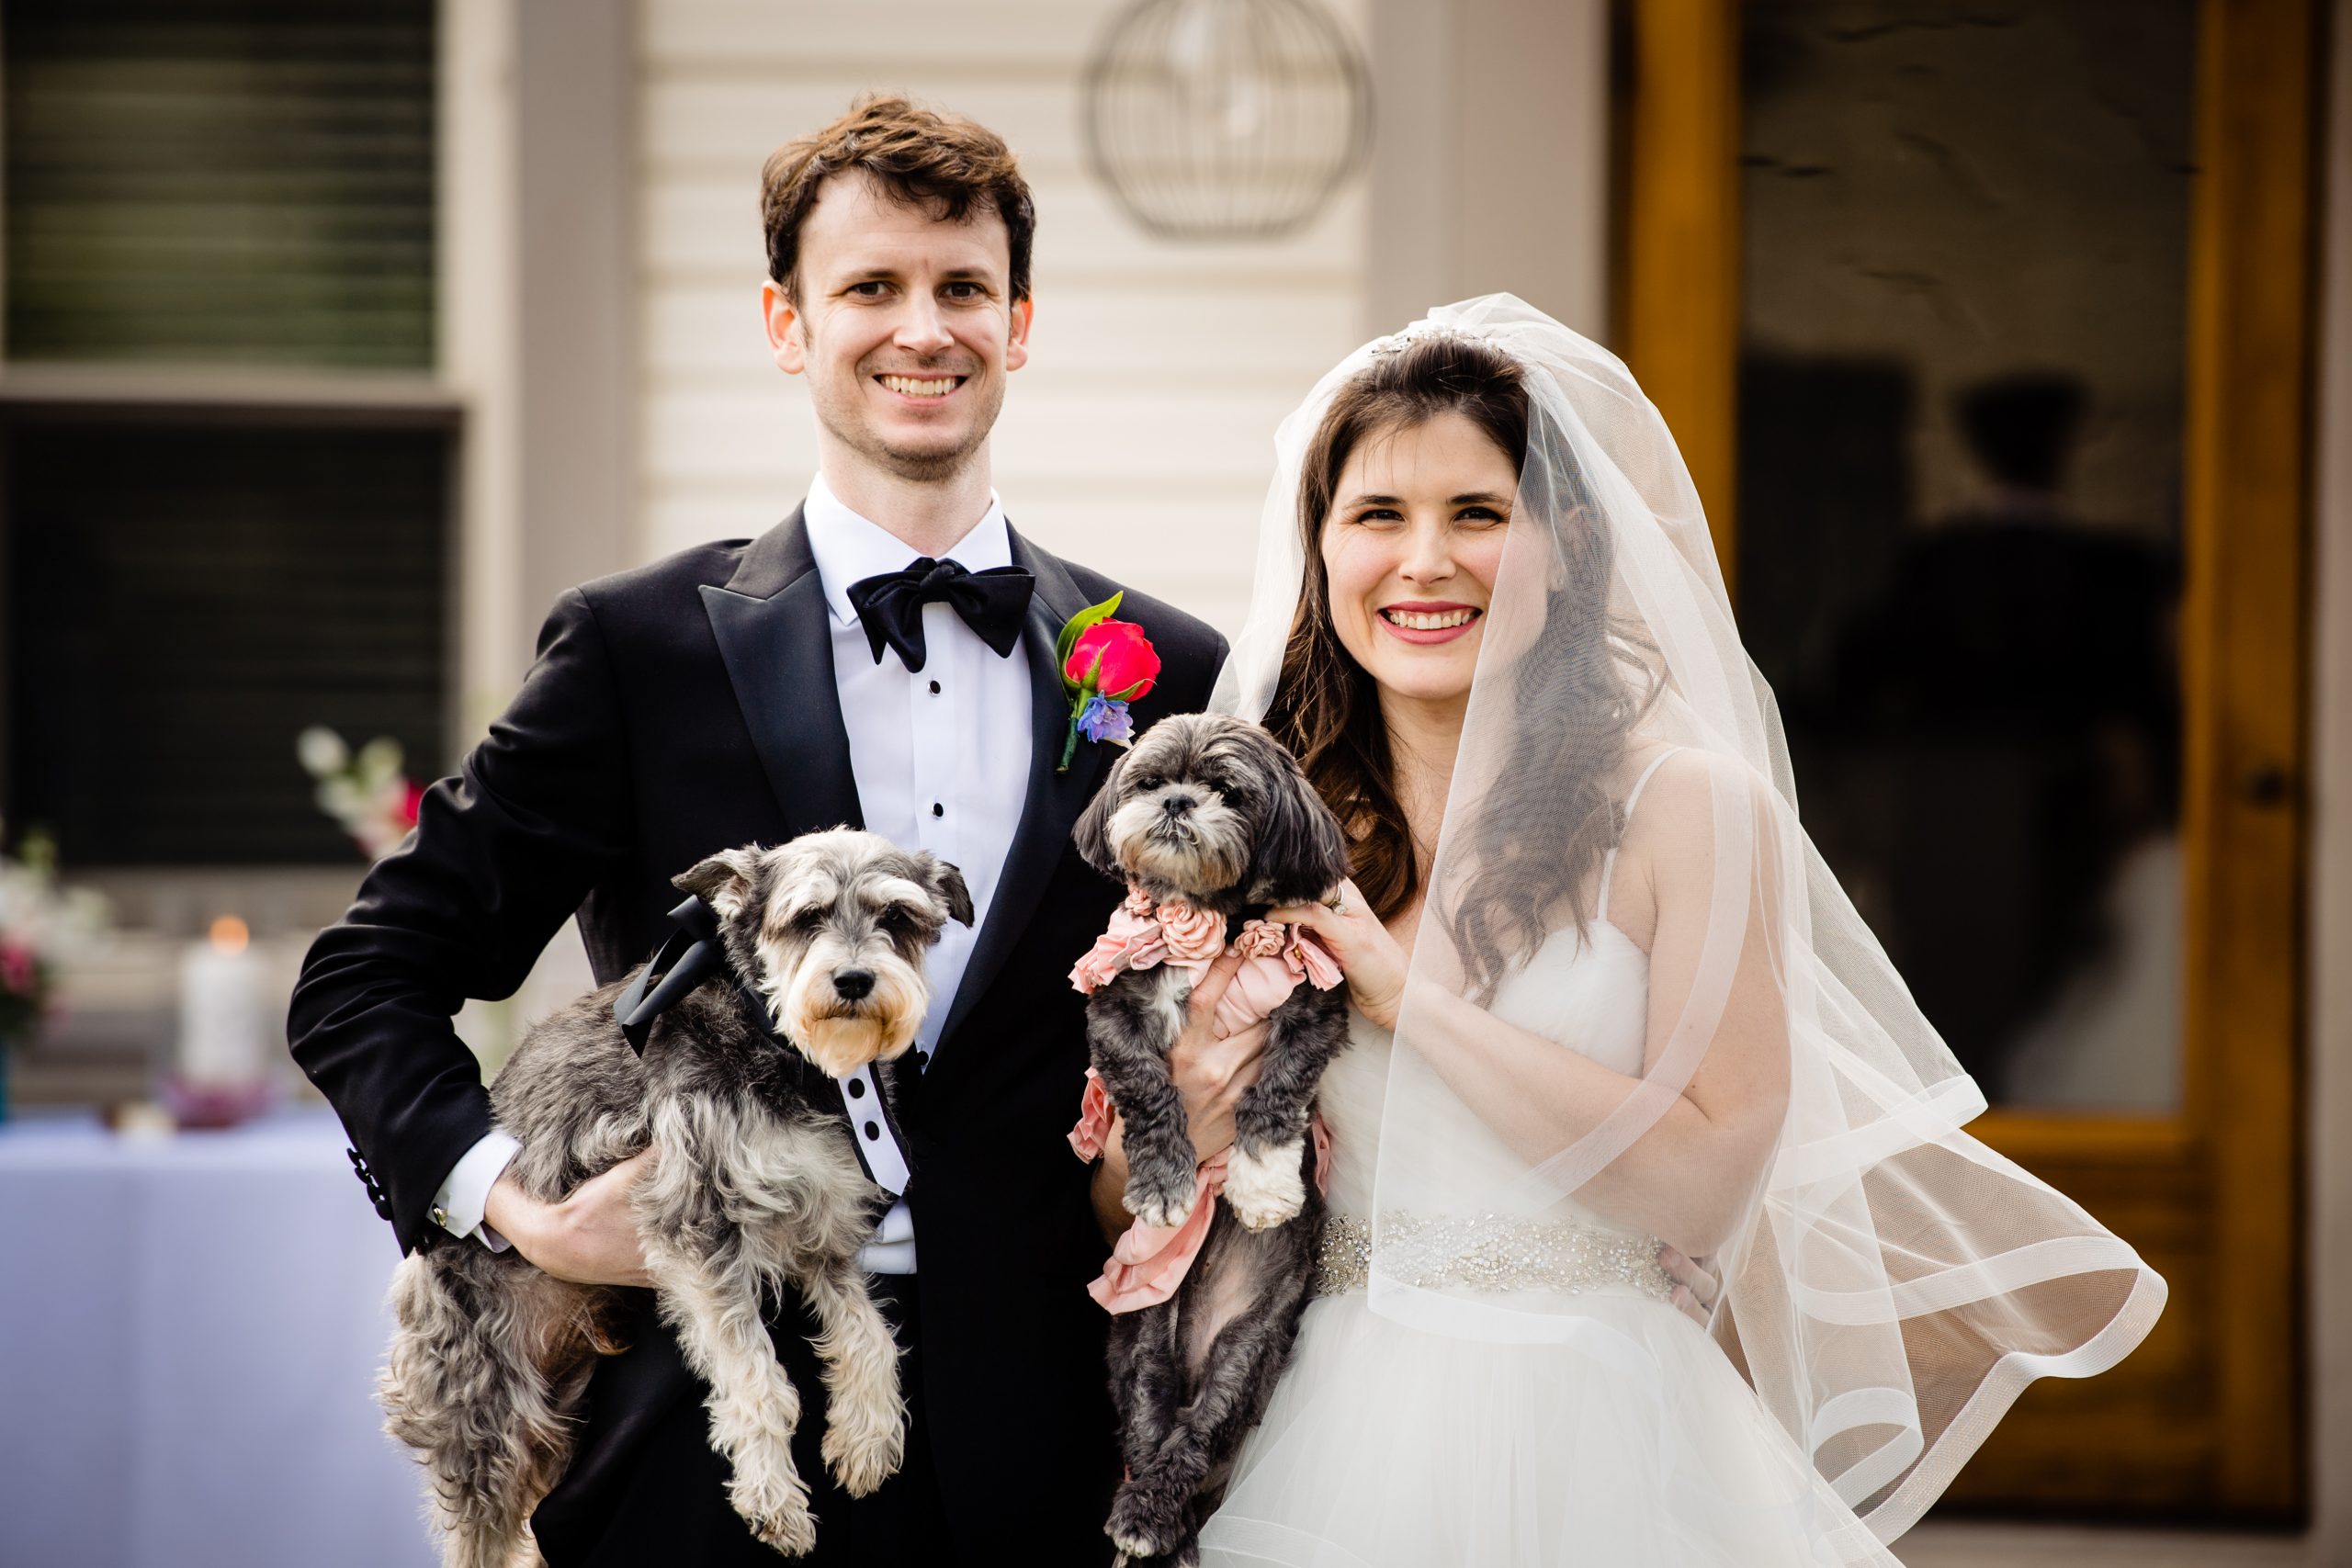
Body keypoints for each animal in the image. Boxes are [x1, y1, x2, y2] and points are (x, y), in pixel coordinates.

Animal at [380, 827, 968, 1561]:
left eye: (897, 916)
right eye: (806, 917)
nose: (855, 980)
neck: (781, 1043)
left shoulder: (817, 1228)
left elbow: (869, 1333)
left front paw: (867, 1433)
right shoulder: (698, 1227)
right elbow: (757, 1378)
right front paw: (772, 1496)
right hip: (485, 1426)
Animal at [1077, 715, 1354, 1568]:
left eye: (1229, 792)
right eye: (1147, 780)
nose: (1174, 801)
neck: (1207, 925)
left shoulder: (1314, 1000)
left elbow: (1277, 1095)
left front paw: (1262, 1184)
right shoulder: (1112, 1007)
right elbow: (1146, 1087)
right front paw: (1165, 1185)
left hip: (1251, 1346)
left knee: (1197, 1436)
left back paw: (1151, 1515)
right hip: (1140, 1345)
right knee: (1150, 1430)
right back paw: (1142, 1519)